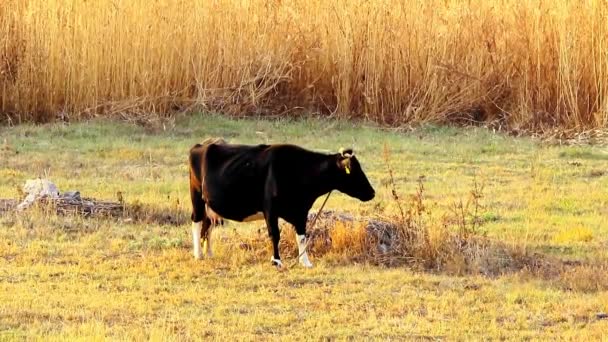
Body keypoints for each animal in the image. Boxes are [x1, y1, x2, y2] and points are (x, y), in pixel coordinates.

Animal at [188, 138, 376, 268]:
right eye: (354, 171)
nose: (372, 192)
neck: (299, 170)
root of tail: (203, 145)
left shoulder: (301, 211)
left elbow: (302, 237)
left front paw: (305, 262)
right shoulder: (270, 209)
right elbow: (275, 235)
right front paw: (277, 261)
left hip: (210, 206)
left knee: (208, 225)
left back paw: (208, 253)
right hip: (197, 197)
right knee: (196, 222)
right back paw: (198, 254)